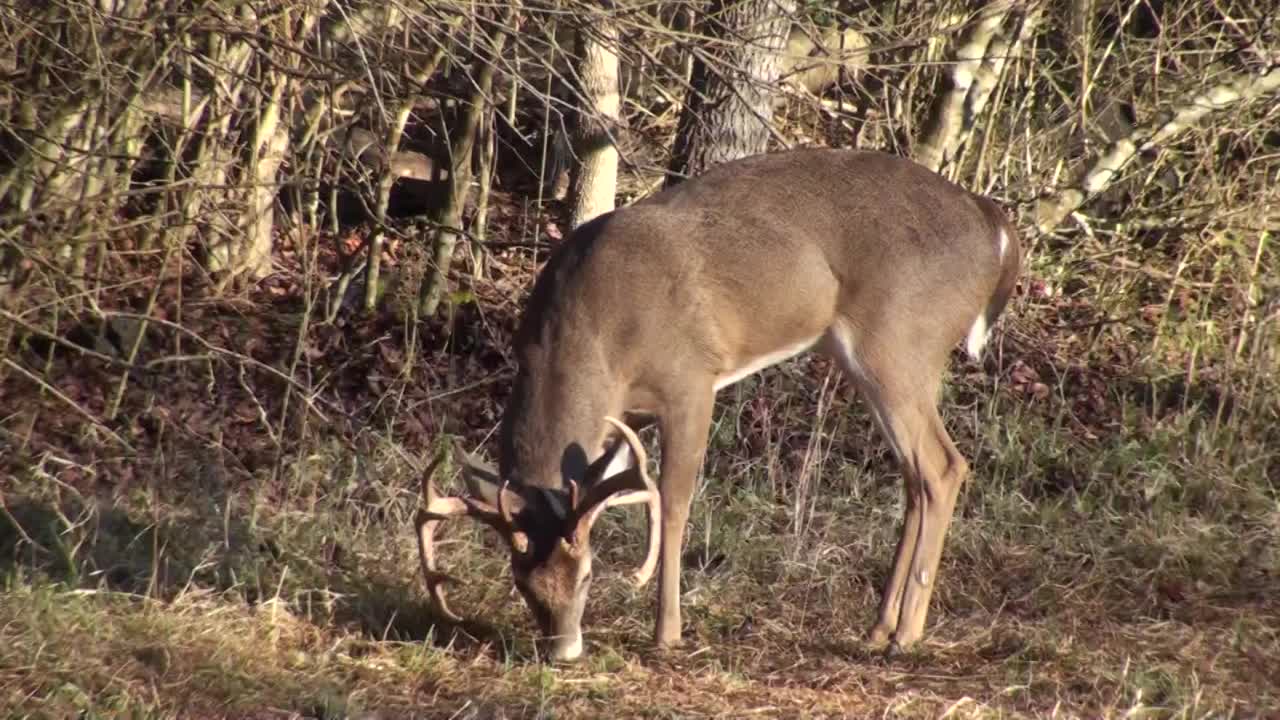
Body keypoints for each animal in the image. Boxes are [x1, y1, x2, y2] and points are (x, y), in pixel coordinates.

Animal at [417, 147, 1018, 661]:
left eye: (586, 573)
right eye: (521, 583)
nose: (563, 648)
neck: (593, 333)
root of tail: (992, 222)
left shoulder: (690, 379)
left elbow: (673, 500)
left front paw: (667, 633)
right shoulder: (623, 415)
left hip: (899, 344)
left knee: (943, 466)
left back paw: (905, 636)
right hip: (877, 361)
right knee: (915, 477)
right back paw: (877, 627)